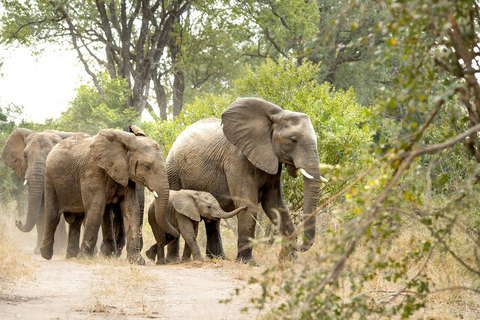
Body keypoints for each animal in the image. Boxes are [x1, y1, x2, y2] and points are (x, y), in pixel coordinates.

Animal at [39, 129, 178, 264]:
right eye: (147, 167)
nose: (173, 235)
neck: (127, 140)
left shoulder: (124, 174)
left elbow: (131, 208)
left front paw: (136, 261)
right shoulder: (93, 172)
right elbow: (96, 209)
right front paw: (85, 258)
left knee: (76, 221)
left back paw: (71, 256)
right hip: (49, 180)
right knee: (53, 216)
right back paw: (46, 254)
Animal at [164, 97, 326, 262]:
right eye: (293, 140)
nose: (300, 246)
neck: (273, 116)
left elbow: (275, 205)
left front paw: (289, 260)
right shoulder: (237, 159)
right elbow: (249, 205)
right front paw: (248, 262)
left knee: (213, 217)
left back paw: (218, 258)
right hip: (173, 171)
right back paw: (175, 260)